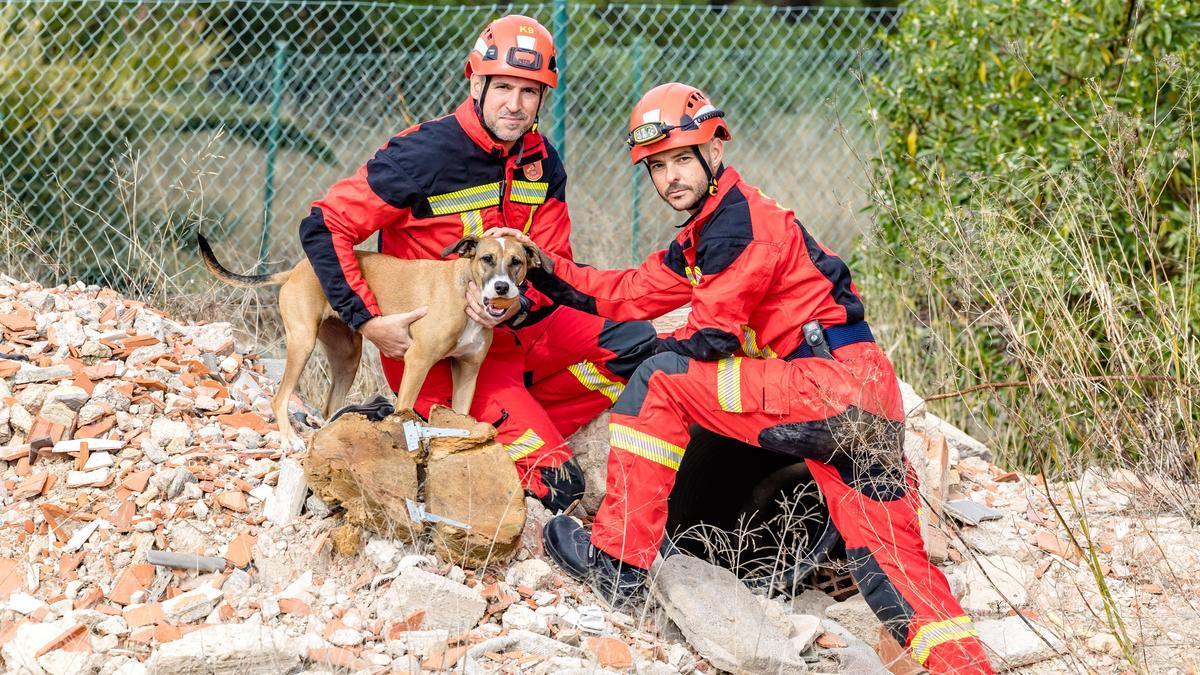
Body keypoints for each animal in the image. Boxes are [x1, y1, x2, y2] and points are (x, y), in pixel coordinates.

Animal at [199, 233, 549, 446]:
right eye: (487, 259)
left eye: (516, 262)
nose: (503, 288)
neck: (466, 292)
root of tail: (296, 270)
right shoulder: (417, 362)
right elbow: (404, 410)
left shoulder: (467, 371)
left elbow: (461, 418)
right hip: (302, 342)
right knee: (280, 397)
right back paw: (289, 438)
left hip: (347, 358)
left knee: (330, 408)